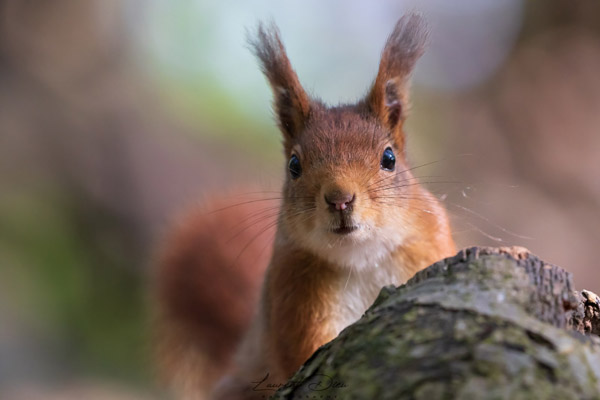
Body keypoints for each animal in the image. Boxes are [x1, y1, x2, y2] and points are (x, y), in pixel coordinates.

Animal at [154, 13, 454, 400]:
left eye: (389, 159)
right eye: (294, 165)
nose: (340, 198)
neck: (361, 258)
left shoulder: (427, 248)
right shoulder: (295, 293)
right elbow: (303, 351)